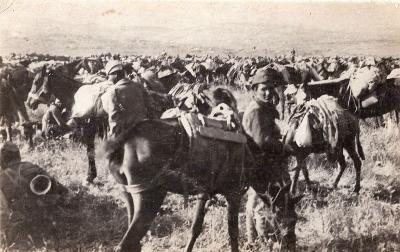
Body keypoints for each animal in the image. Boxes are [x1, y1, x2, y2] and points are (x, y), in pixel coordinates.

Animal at [103, 117, 304, 251]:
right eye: (291, 219)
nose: (291, 245)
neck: (251, 156)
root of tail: (126, 139)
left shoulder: (204, 192)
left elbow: (195, 228)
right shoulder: (234, 193)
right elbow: (233, 232)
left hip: (129, 195)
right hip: (151, 197)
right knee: (125, 244)